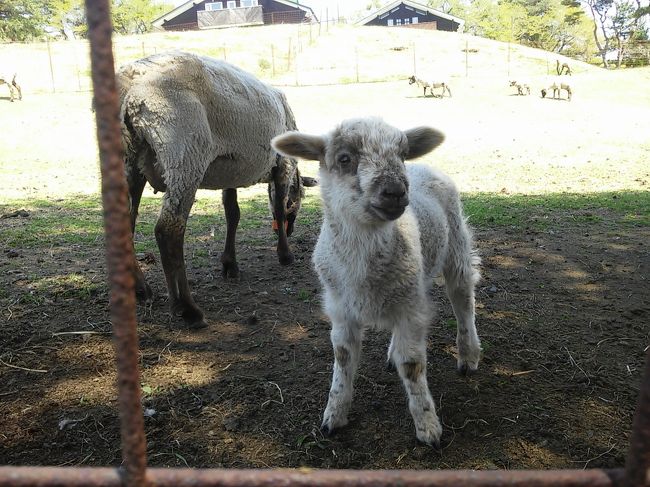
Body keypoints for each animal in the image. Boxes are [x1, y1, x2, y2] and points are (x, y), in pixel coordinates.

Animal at [119, 51, 318, 330]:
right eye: (299, 199)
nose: (291, 231)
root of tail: (131, 87)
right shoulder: (282, 165)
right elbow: (278, 209)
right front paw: (285, 254)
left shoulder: (232, 170)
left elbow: (232, 213)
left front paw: (230, 265)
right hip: (185, 153)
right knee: (168, 230)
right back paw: (187, 308)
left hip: (131, 161)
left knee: (127, 224)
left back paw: (141, 290)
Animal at [270, 117, 478, 446]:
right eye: (344, 158)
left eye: (402, 155)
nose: (395, 191)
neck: (362, 264)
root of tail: (425, 167)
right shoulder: (341, 308)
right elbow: (343, 358)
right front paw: (334, 415)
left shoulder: (409, 310)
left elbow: (412, 364)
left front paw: (427, 425)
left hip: (455, 245)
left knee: (463, 301)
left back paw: (468, 356)